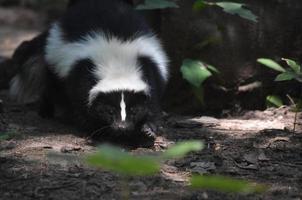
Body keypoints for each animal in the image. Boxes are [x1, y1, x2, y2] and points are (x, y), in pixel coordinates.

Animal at [9, 0, 169, 144]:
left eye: (134, 110)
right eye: (109, 110)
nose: (122, 127)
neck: (117, 64)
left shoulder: (149, 69)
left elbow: (153, 102)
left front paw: (148, 129)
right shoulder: (80, 71)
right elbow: (82, 102)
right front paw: (97, 130)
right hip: (54, 65)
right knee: (50, 88)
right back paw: (45, 111)